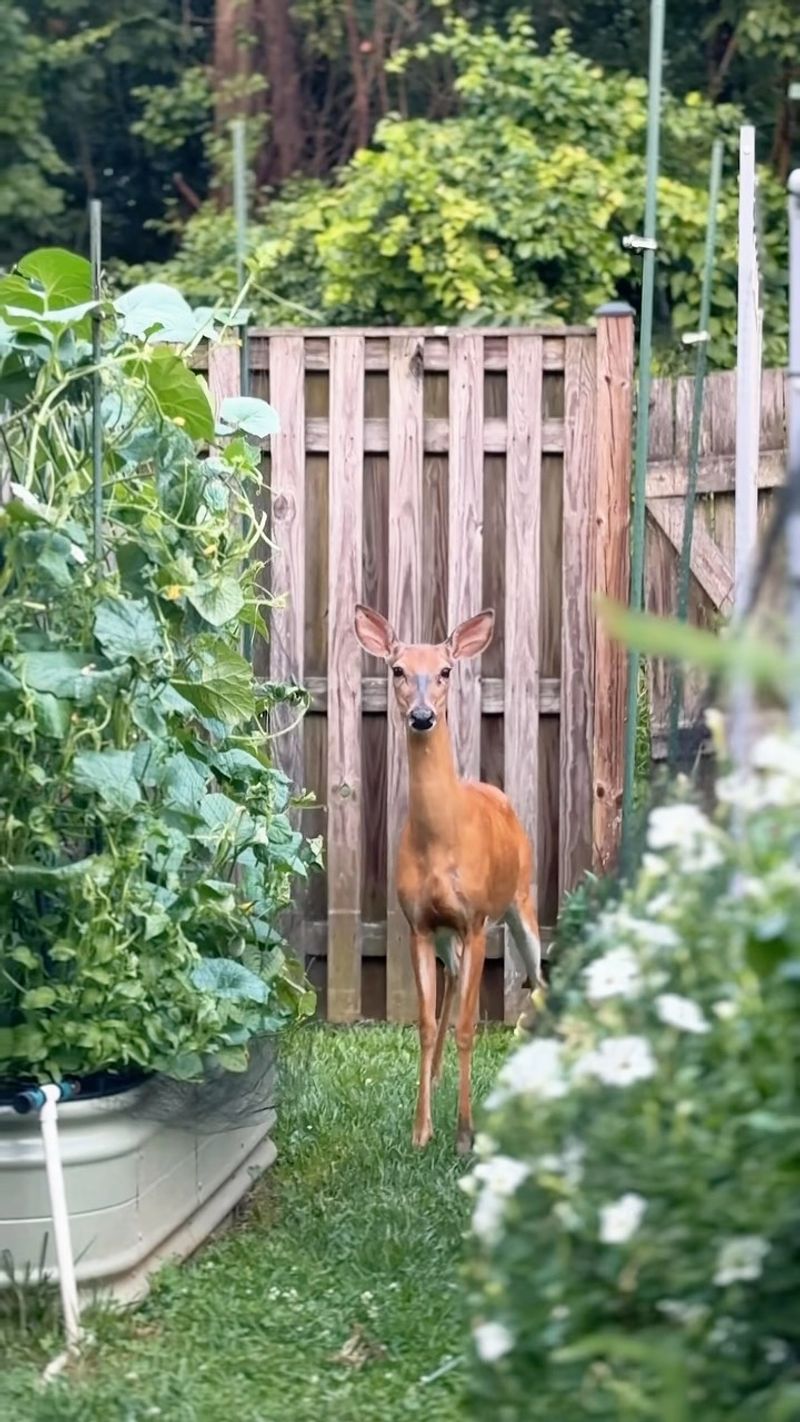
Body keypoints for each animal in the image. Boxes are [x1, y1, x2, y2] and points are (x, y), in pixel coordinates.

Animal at [354, 603, 544, 1154]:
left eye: (445, 671)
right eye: (397, 669)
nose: (422, 716)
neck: (442, 840)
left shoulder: (476, 921)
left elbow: (466, 1025)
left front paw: (465, 1134)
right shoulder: (419, 924)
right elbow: (424, 1021)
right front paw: (421, 1130)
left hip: (521, 901)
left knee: (539, 979)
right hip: (445, 936)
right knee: (455, 979)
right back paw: (437, 1078)